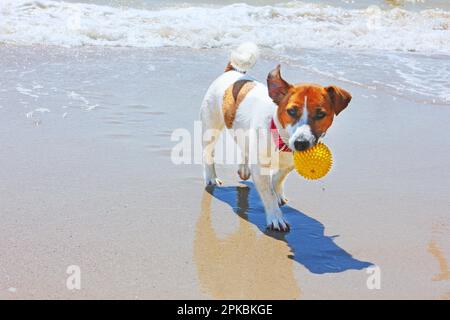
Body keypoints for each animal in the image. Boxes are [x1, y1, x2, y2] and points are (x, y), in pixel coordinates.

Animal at [200, 43, 352, 232]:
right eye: (291, 111)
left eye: (320, 114)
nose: (301, 144)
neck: (280, 140)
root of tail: (232, 73)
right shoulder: (260, 168)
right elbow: (269, 195)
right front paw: (276, 217)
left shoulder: (289, 164)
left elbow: (278, 178)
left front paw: (276, 189)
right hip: (211, 129)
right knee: (208, 153)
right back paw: (211, 177)